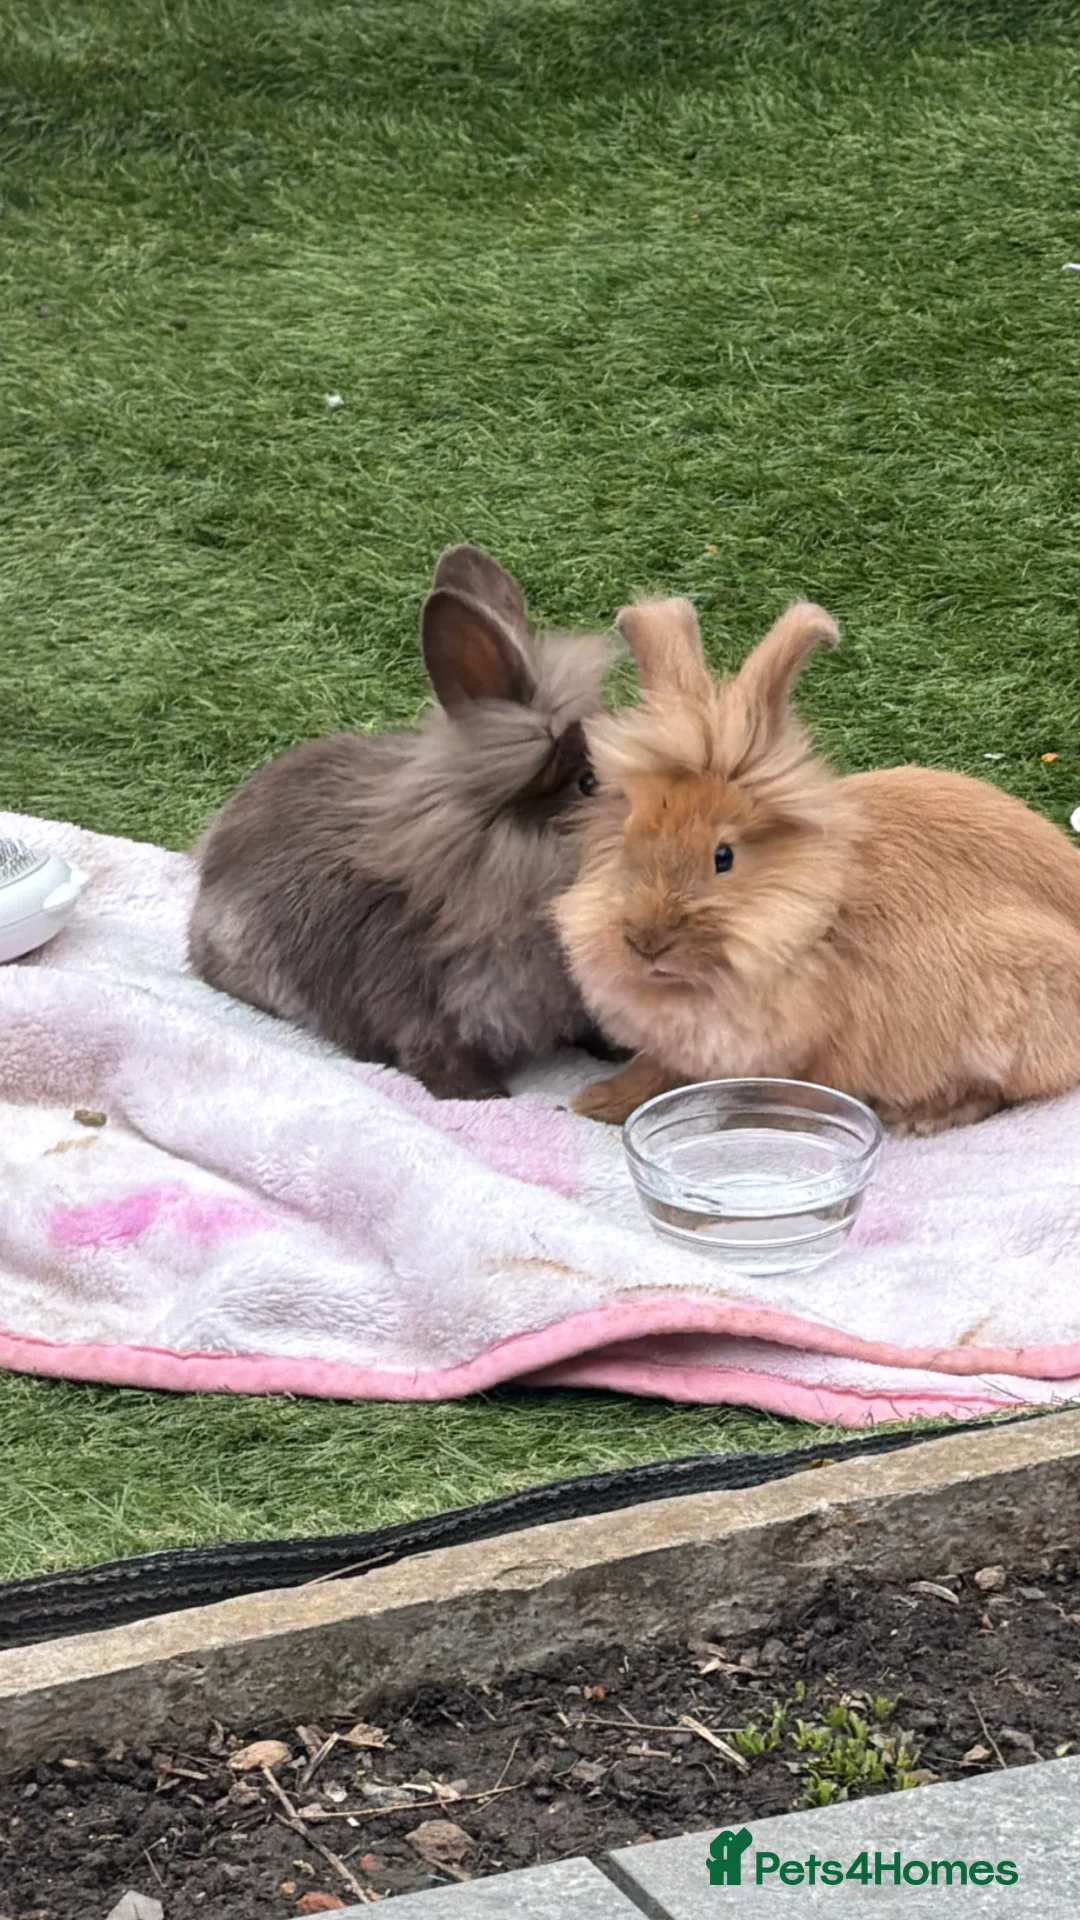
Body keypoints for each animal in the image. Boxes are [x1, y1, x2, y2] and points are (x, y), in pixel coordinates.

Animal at [554, 593, 1080, 1133]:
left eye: (724, 857)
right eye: (627, 838)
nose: (646, 943)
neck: (813, 921)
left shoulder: (827, 1048)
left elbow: (804, 1094)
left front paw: (747, 1123)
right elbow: (652, 1069)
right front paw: (596, 1103)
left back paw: (923, 1116)